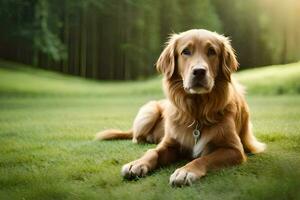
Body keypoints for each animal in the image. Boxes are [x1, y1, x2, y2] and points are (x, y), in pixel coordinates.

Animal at [95, 28, 264, 187]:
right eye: (186, 51)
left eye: (212, 51)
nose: (199, 71)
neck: (197, 111)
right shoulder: (169, 143)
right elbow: (153, 152)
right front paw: (137, 163)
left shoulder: (234, 149)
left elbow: (205, 158)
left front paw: (185, 171)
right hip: (149, 110)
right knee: (137, 138)